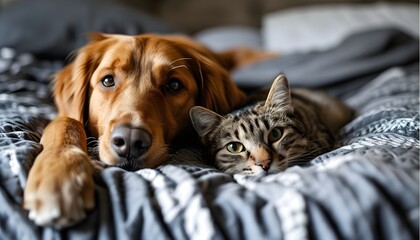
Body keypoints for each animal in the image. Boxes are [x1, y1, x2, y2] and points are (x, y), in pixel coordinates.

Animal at [23, 33, 249, 227]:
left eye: (174, 85)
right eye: (108, 80)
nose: (130, 141)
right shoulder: (63, 116)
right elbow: (66, 122)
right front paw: (59, 174)